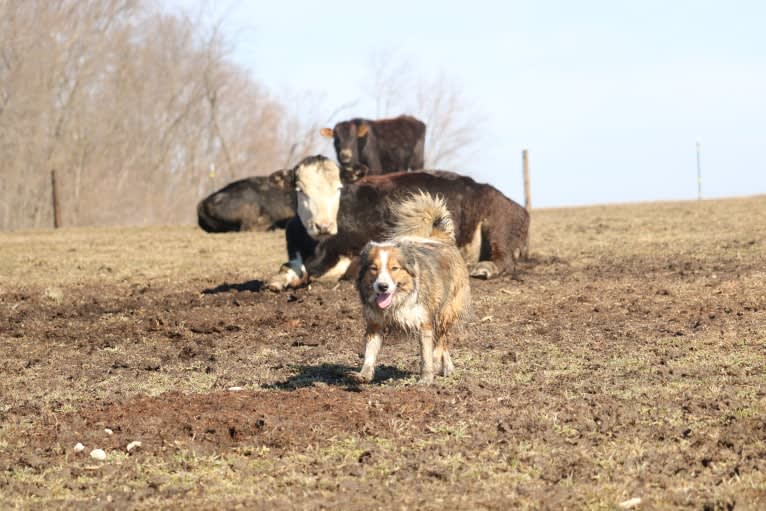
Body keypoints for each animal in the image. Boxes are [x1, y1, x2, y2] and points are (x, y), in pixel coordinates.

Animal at [268, 154, 532, 292]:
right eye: (300, 190)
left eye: (339, 188)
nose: (323, 226)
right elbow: (288, 268)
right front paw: (277, 280)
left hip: (498, 223)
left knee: (505, 260)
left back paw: (484, 267)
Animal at [352, 192, 472, 384]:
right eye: (373, 268)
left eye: (394, 268)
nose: (382, 286)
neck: (396, 302)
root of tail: (441, 238)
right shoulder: (374, 324)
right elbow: (369, 353)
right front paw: (364, 375)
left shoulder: (424, 323)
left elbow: (426, 355)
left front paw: (426, 378)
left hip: (446, 310)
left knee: (442, 339)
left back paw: (440, 363)